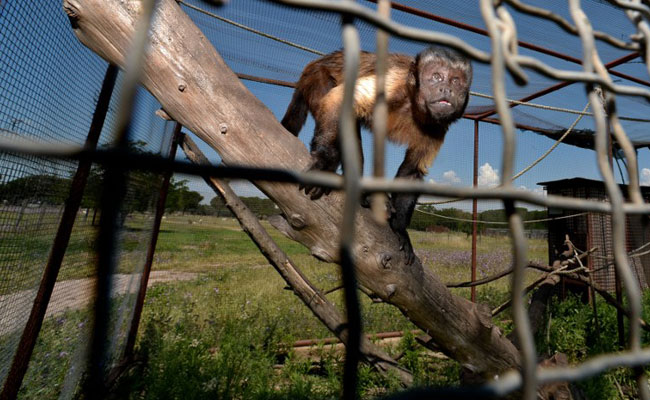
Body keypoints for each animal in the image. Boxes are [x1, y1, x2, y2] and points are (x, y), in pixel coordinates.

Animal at [280, 45, 468, 264]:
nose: (446, 89)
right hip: (316, 77)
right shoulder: (394, 83)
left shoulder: (438, 127)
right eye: (436, 77)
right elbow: (340, 100)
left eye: (456, 81)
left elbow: (412, 171)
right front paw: (324, 161)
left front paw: (399, 228)